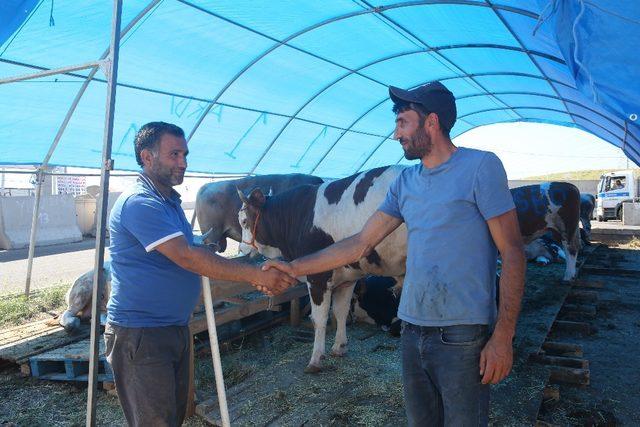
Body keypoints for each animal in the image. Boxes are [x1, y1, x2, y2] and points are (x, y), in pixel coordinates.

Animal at [238, 166, 408, 372]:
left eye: (244, 221)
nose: (241, 249)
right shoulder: (348, 278)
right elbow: (340, 311)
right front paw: (339, 347)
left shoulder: (317, 277)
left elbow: (319, 318)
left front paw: (316, 359)